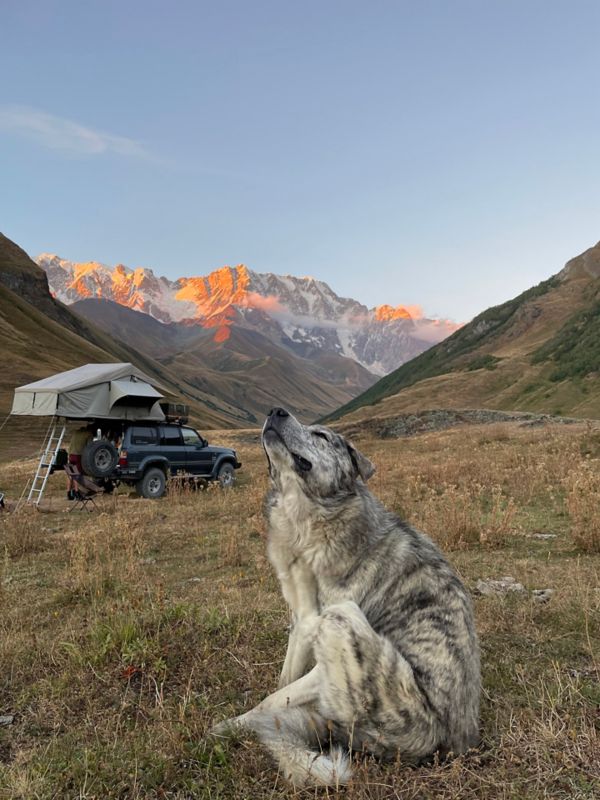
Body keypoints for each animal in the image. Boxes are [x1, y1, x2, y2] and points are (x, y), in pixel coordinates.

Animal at [213, 410, 480, 784]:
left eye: (322, 436)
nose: (276, 411)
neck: (308, 518)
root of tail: (438, 745)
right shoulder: (302, 622)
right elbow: (283, 683)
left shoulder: (321, 647)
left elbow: (273, 699)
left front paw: (232, 725)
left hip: (345, 619)